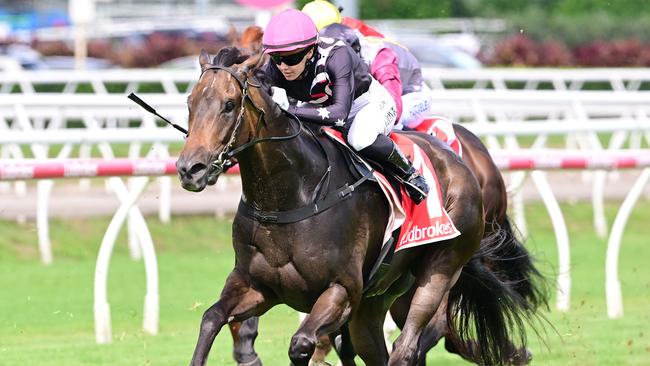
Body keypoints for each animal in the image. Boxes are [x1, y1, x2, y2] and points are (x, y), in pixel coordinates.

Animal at [176, 45, 532, 366]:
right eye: (190, 103)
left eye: (229, 105)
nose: (190, 168)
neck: (291, 196)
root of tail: (462, 161)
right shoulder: (257, 287)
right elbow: (211, 318)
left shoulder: (342, 292)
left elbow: (301, 344)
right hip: (377, 299)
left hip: (441, 268)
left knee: (410, 345)